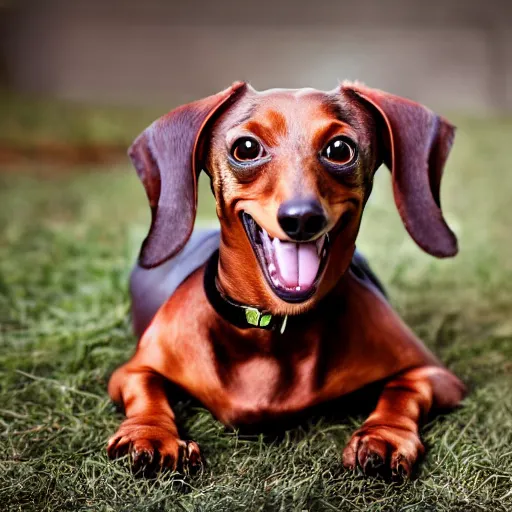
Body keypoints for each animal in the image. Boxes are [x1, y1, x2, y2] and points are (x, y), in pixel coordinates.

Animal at [108, 82, 468, 478]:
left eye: (340, 149)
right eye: (246, 148)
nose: (302, 218)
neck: (271, 332)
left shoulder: (434, 374)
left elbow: (404, 389)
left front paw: (384, 435)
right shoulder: (132, 370)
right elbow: (146, 389)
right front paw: (152, 434)